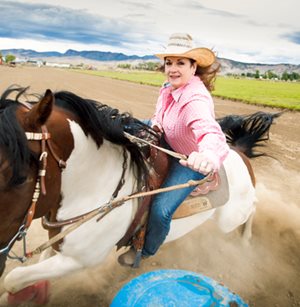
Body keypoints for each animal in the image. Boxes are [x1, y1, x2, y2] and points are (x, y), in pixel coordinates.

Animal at [0, 86, 278, 306]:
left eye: (20, 178)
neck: (96, 185)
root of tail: (238, 151)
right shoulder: (60, 245)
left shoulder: (79, 261)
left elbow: (13, 279)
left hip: (230, 219)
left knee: (253, 207)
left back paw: (246, 240)